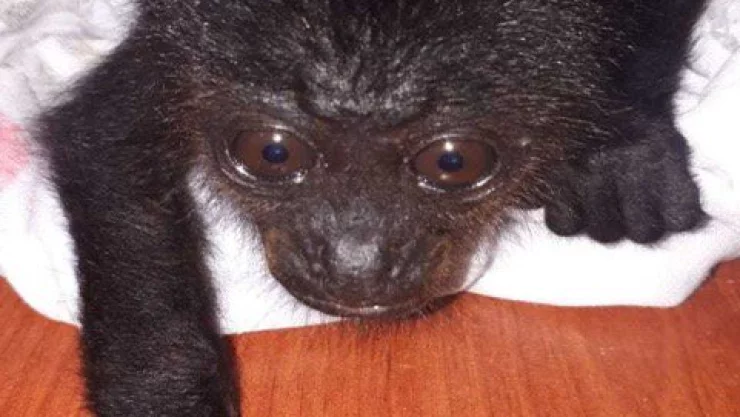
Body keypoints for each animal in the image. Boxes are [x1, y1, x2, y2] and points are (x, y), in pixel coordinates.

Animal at [36, 0, 706, 415]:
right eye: (272, 152)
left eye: (453, 162)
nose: (355, 261)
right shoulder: (178, 55)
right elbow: (106, 149)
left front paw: (620, 147)